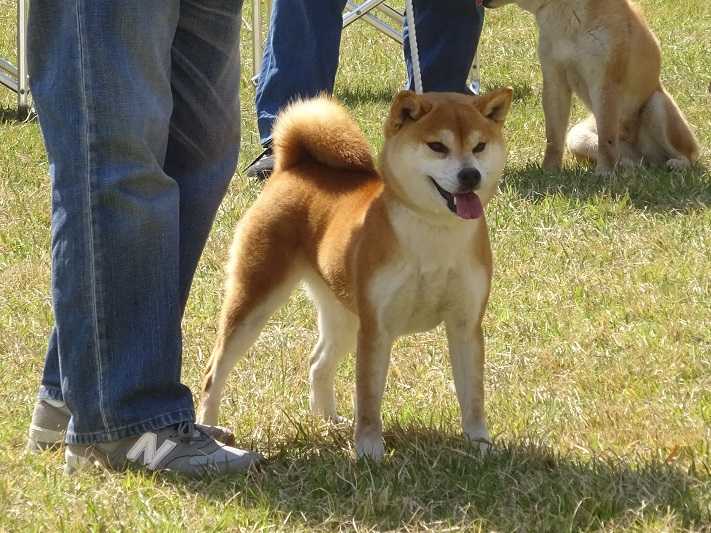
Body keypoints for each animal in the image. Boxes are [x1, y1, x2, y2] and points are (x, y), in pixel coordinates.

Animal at [197, 88, 513, 460]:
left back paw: (329, 421)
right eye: (437, 146)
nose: (470, 176)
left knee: (318, 362)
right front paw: (369, 450)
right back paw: (211, 429)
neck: (434, 233)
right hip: (255, 299)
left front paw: (481, 445)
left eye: (479, 146)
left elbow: (473, 396)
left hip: (344, 314)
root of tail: (295, 167)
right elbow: (369, 397)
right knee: (214, 371)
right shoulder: (376, 328)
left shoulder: (465, 325)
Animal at [483, 0, 700, 174]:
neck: (563, 10)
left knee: (688, 155)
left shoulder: (604, 82)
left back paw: (675, 164)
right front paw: (549, 171)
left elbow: (606, 138)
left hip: (657, 105)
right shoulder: (554, 80)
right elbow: (553, 137)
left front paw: (604, 173)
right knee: (635, 160)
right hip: (577, 137)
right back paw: (628, 165)